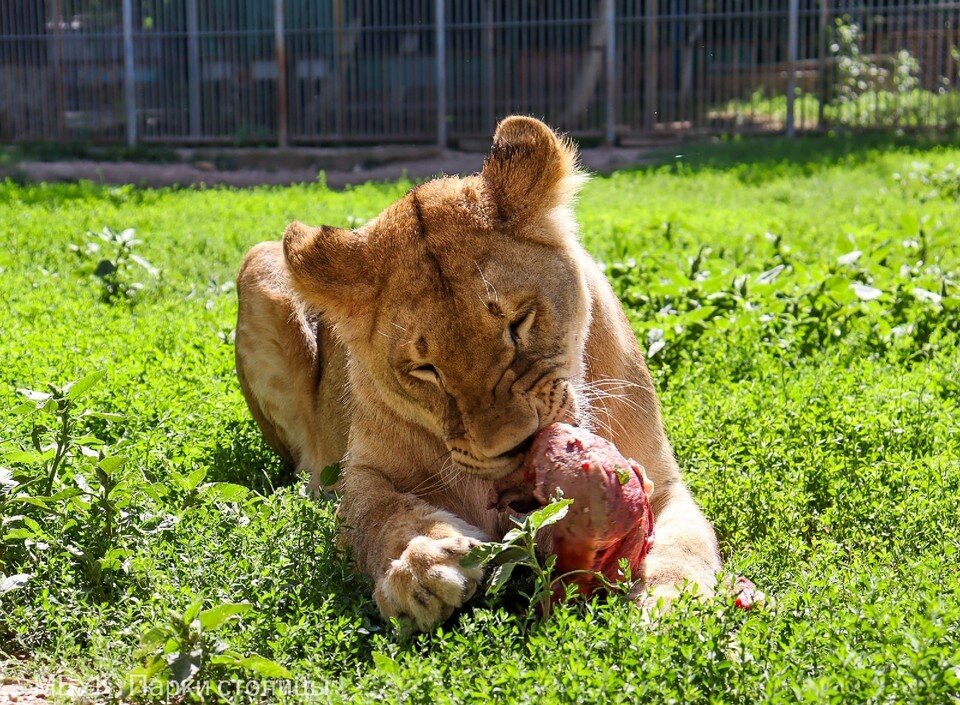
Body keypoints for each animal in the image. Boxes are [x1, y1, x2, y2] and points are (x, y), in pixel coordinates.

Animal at [236, 117, 720, 632]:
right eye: (425, 368)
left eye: (519, 322)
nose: (517, 446)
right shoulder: (361, 474)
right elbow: (378, 514)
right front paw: (418, 564)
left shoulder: (662, 481)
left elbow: (685, 546)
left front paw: (673, 606)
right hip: (259, 263)